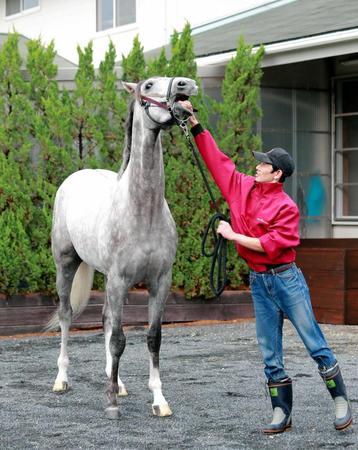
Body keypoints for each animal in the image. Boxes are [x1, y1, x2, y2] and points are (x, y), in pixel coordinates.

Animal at [48, 74, 199, 418]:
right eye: (149, 85)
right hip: (66, 264)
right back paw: (62, 379)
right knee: (66, 315)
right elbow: (118, 339)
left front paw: (158, 400)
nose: (185, 85)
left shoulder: (160, 281)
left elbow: (153, 338)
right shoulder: (119, 280)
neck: (143, 211)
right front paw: (111, 405)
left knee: (105, 316)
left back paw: (116, 382)